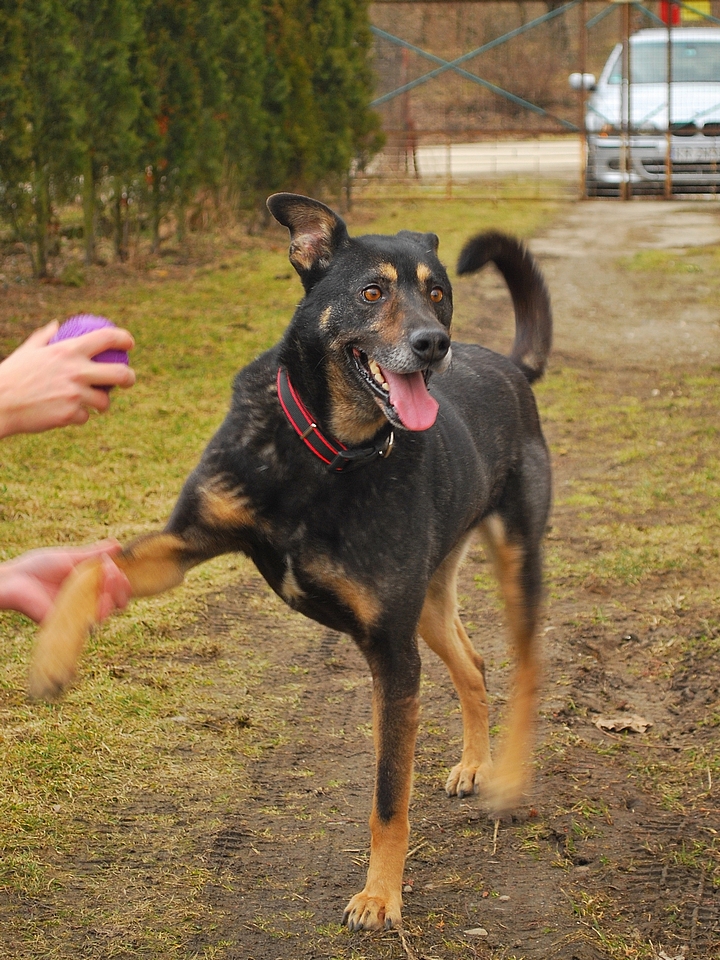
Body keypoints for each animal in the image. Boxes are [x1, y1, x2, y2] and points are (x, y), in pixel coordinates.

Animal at [29, 194, 552, 932]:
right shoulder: (187, 542)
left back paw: (505, 776)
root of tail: (510, 366)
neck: (323, 450)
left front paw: (380, 896)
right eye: (373, 292)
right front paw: (51, 657)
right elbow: (94, 568)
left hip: (512, 557)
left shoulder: (391, 655)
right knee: (475, 665)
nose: (433, 344)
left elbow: (389, 796)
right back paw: (474, 765)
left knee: (529, 665)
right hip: (427, 602)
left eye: (438, 294)